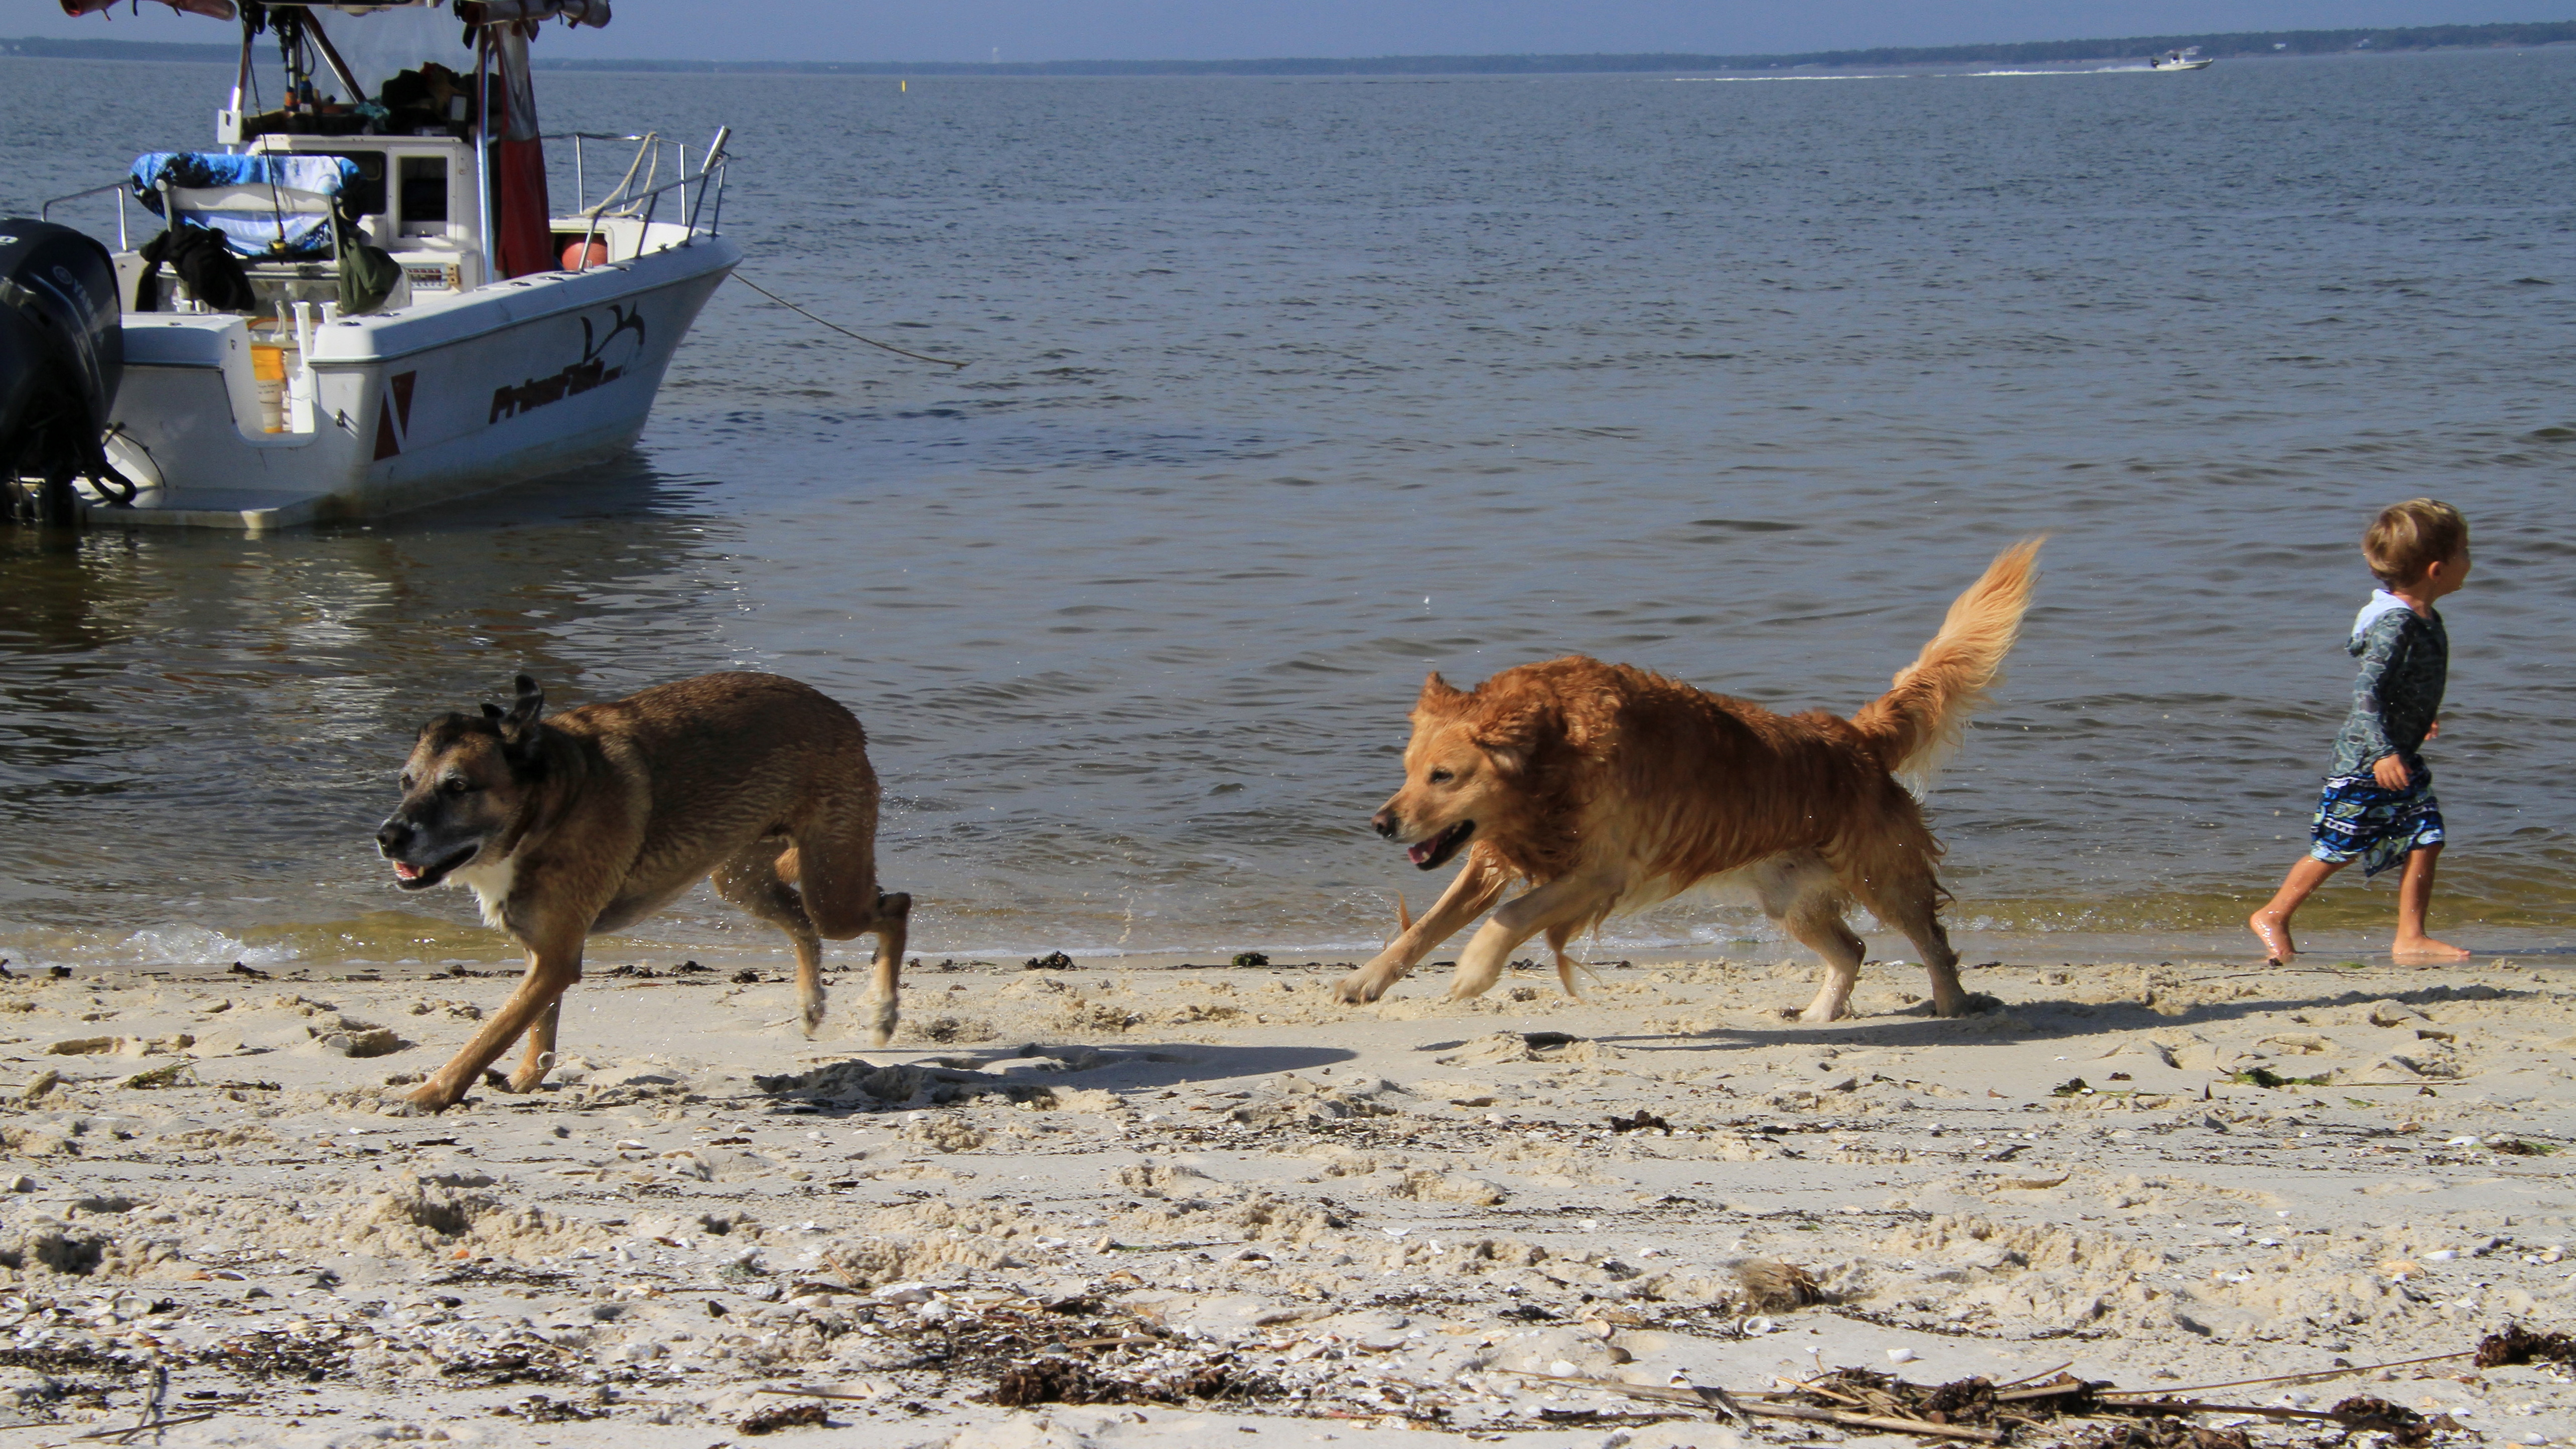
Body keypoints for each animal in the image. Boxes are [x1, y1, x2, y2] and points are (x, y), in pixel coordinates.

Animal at [375, 672, 910, 1111]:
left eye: (459, 787)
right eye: (405, 782)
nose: (387, 837)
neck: (550, 805)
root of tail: (839, 713)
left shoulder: (555, 961)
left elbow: (490, 1034)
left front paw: (432, 1093)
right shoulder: (542, 951)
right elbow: (537, 1026)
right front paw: (529, 1075)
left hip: (832, 894)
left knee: (892, 908)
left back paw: (883, 1011)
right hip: (741, 881)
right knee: (802, 923)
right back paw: (811, 1003)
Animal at [1334, 540, 2041, 1023]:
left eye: (1443, 774)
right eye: (1406, 770)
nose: (1380, 822)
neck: (1556, 759)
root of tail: (1853, 735)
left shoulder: (1602, 870)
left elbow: (1511, 914)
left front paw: (1475, 971)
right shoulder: (1495, 854)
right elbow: (1426, 925)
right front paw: (1367, 977)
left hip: (1881, 872)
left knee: (1931, 939)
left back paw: (1953, 1004)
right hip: (1789, 894)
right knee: (1852, 948)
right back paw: (1819, 1013)